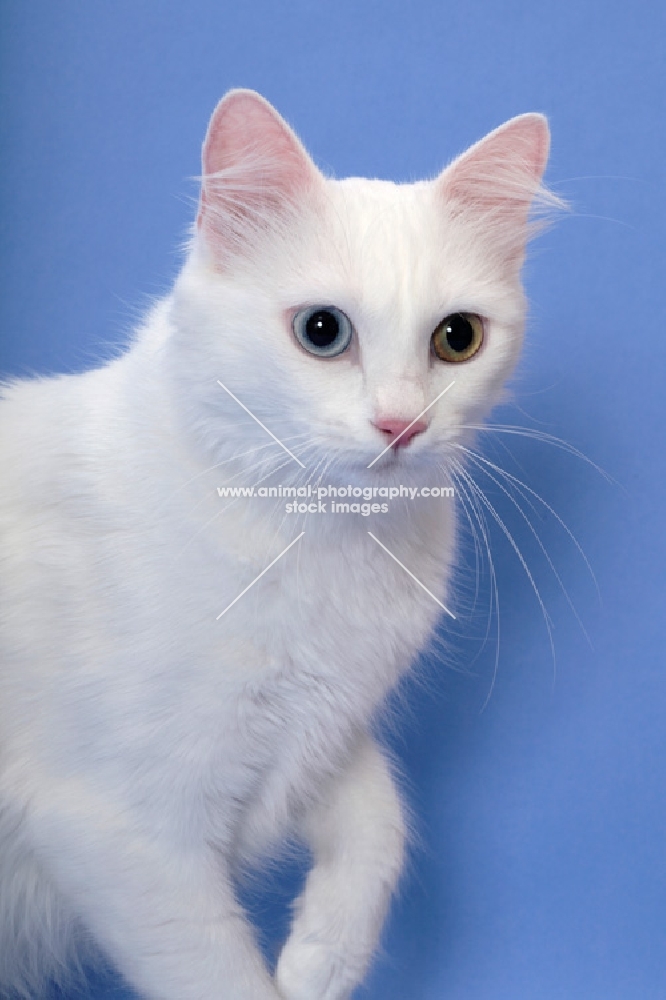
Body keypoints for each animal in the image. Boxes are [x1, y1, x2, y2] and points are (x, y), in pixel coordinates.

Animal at [0, 90, 548, 996]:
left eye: (458, 339)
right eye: (322, 331)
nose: (402, 425)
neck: (318, 536)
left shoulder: (326, 733)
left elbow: (381, 825)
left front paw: (319, 963)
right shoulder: (126, 833)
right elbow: (219, 974)